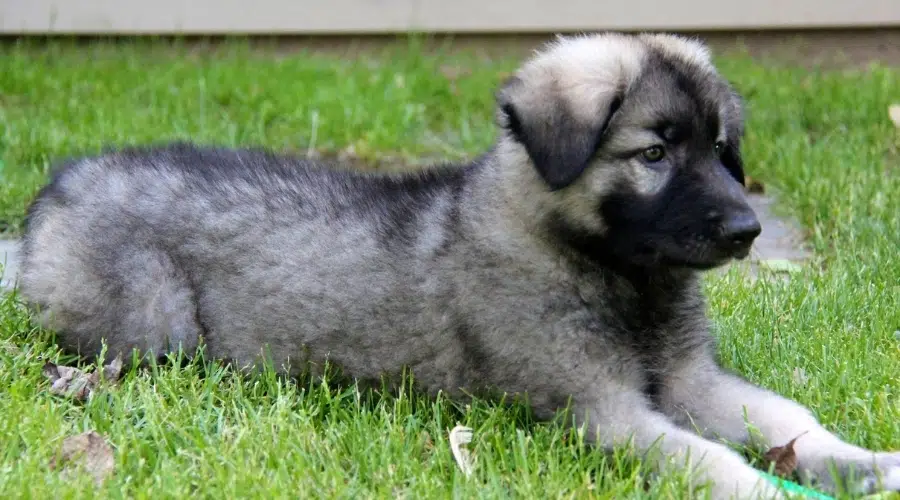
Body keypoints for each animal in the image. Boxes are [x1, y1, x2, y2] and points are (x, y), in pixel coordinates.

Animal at [17, 33, 900, 498]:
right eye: (654, 153)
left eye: (721, 150)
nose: (750, 230)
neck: (614, 273)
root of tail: (59, 187)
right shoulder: (601, 408)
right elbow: (707, 457)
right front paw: (767, 490)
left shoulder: (690, 380)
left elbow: (786, 420)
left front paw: (863, 463)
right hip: (155, 323)